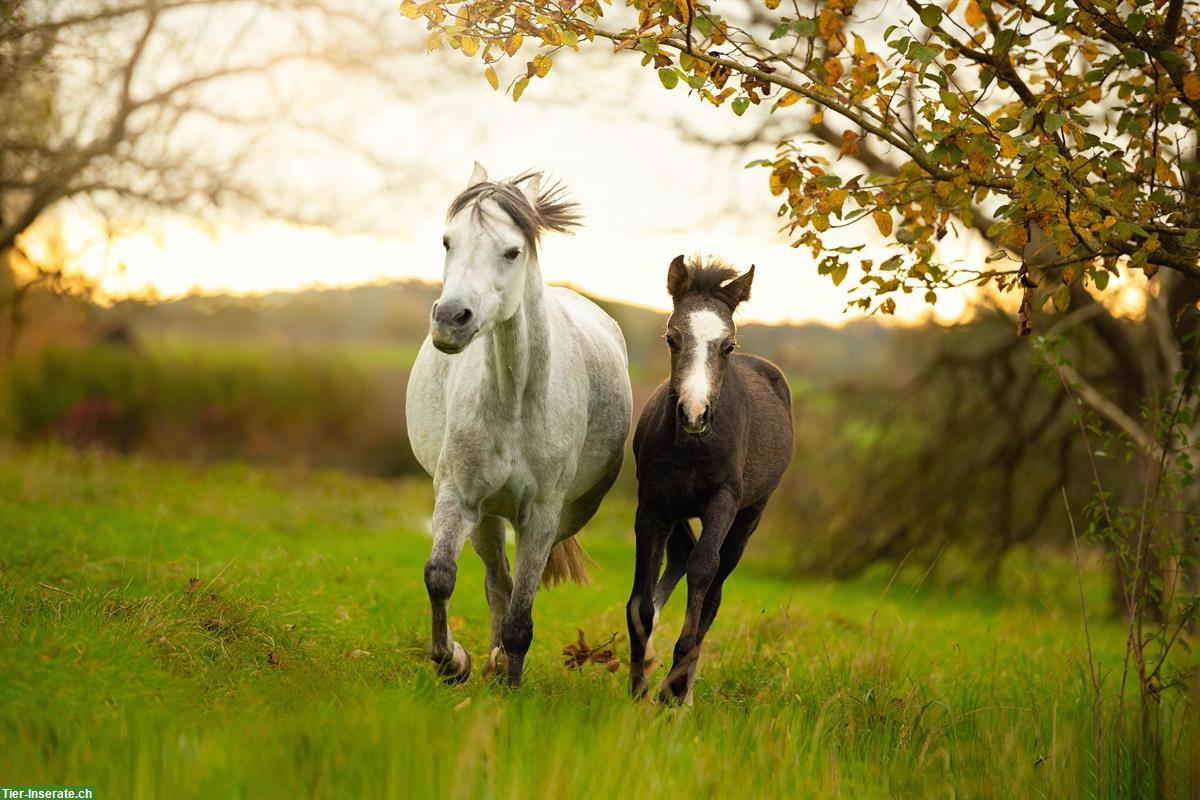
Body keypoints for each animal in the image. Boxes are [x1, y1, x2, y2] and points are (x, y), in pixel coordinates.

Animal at [403, 164, 633, 690]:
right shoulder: (459, 497)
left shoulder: (542, 516)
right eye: (447, 241)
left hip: (563, 516)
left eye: (512, 251)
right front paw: (453, 662)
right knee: (497, 582)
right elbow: (440, 576)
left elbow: (522, 618)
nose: (451, 319)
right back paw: (487, 661)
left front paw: (512, 689)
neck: (515, 401)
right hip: (488, 516)